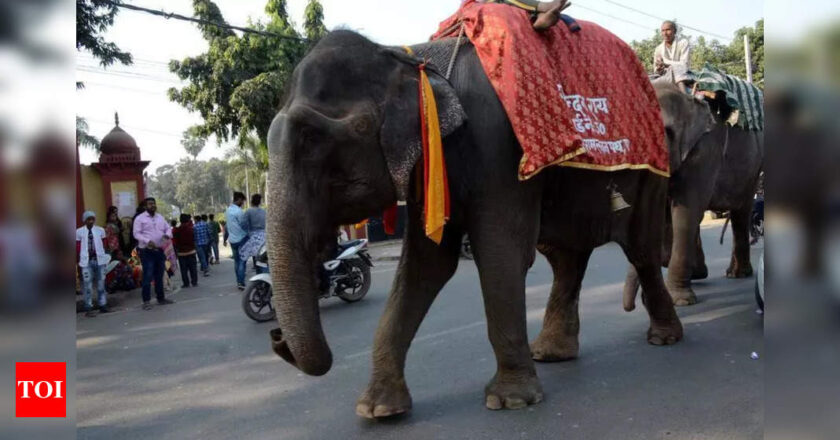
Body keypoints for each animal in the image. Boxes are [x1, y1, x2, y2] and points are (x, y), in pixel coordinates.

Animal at [270, 31, 684, 420]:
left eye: (313, 136)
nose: (276, 339)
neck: (415, 62)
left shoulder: (497, 150)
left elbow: (501, 251)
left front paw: (511, 400)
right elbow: (426, 267)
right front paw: (378, 410)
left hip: (652, 171)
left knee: (640, 249)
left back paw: (664, 339)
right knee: (567, 257)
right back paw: (552, 353)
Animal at [620, 80, 764, 306]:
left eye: (665, 132)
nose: (632, 306)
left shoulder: (705, 150)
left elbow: (686, 211)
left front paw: (679, 301)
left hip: (752, 170)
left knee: (741, 212)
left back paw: (736, 274)